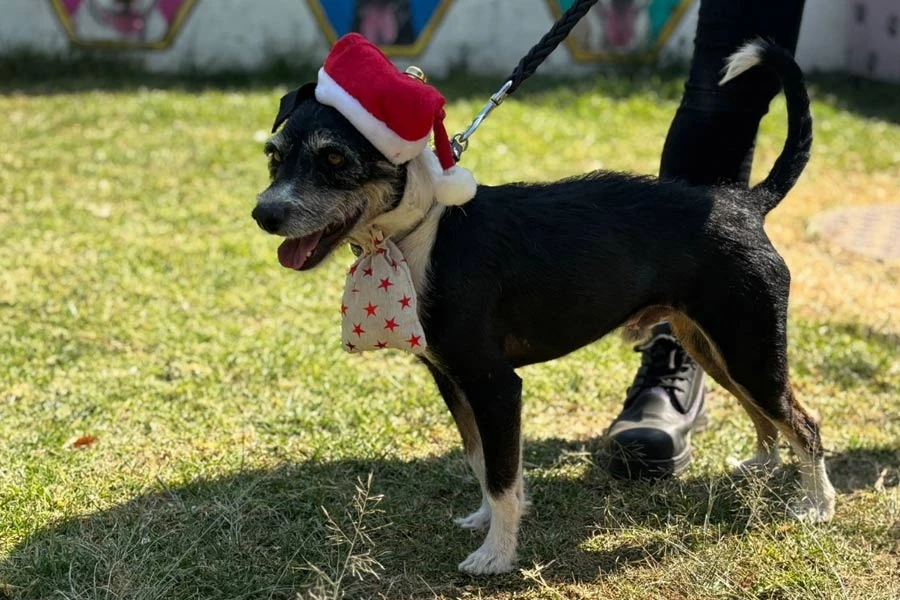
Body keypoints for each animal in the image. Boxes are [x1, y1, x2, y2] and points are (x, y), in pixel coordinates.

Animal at [251, 39, 836, 576]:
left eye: (334, 159)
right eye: (274, 155)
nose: (265, 215)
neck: (424, 232)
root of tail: (746, 204)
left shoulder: (495, 385)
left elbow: (502, 475)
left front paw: (495, 555)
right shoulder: (453, 381)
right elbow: (482, 461)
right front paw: (486, 522)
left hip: (748, 347)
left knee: (804, 423)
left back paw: (817, 507)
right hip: (715, 347)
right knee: (767, 415)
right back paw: (761, 466)